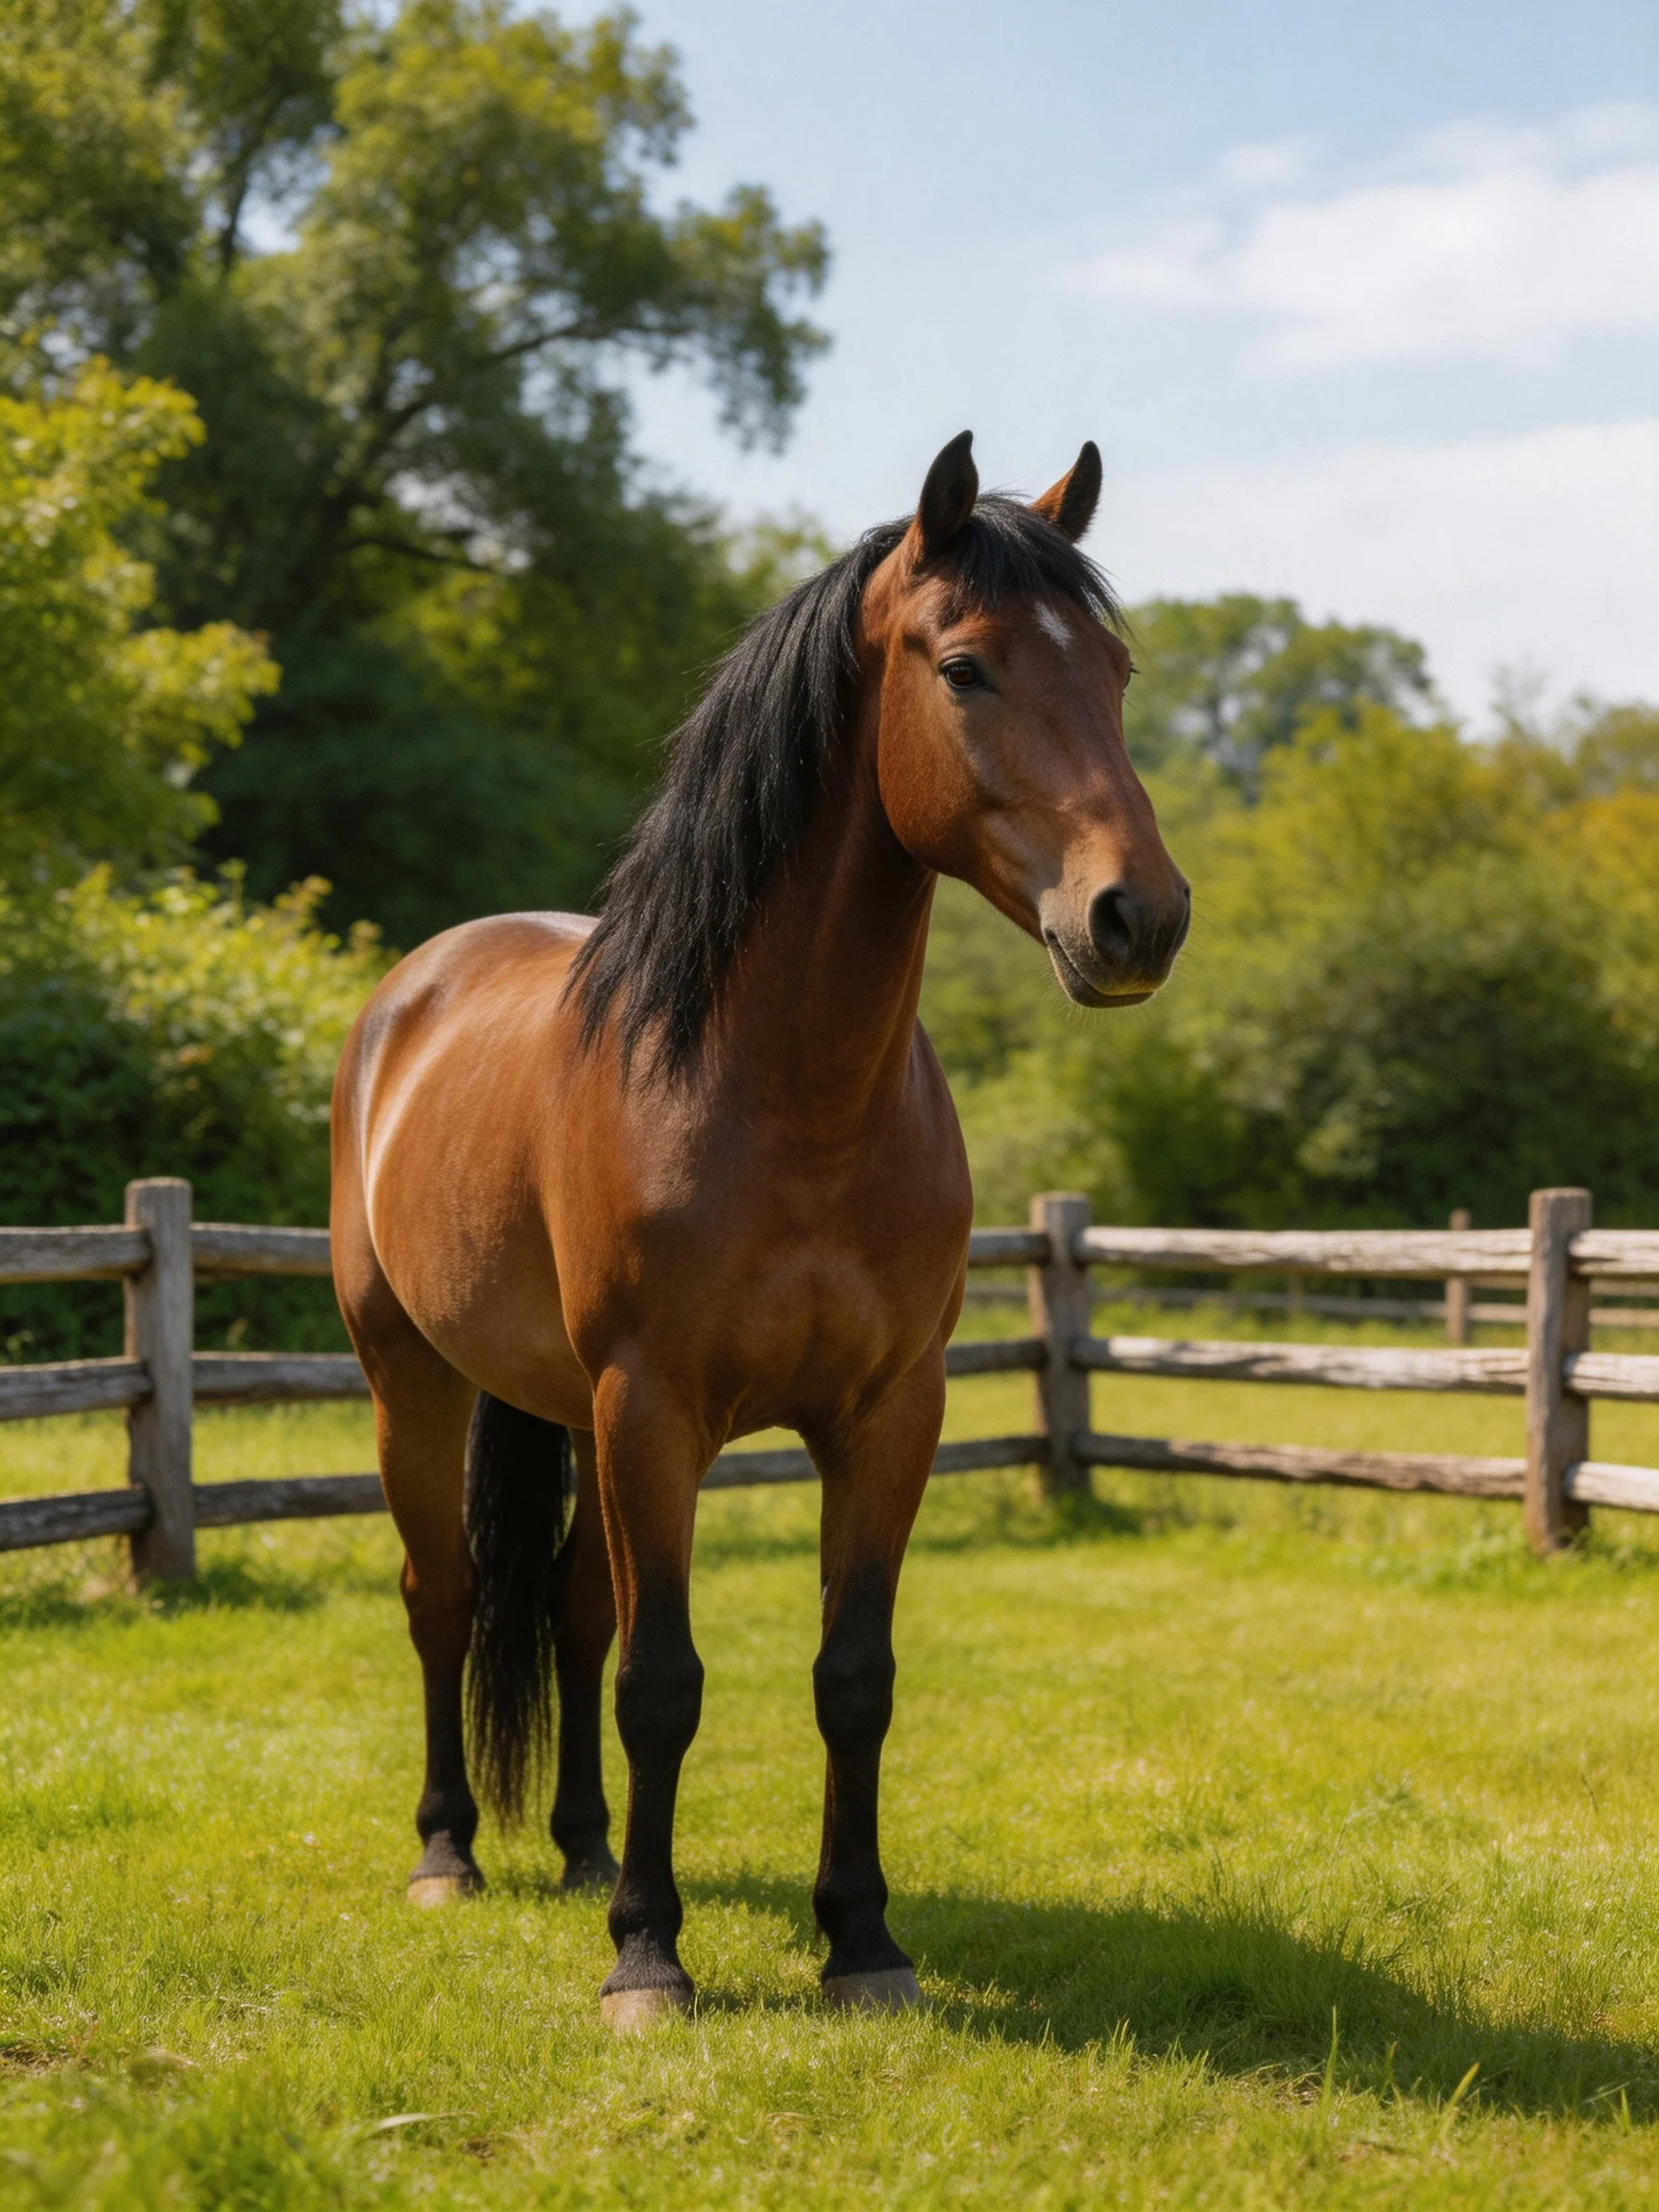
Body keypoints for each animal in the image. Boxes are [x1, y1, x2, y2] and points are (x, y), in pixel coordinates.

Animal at [330, 431, 1190, 2030]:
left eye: (1115, 666)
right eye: (966, 667)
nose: (1138, 919)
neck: (783, 1091)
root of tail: (413, 990)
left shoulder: (888, 1414)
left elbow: (851, 1675)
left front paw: (861, 1940)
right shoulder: (654, 1407)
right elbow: (664, 1682)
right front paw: (649, 1958)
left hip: (567, 1413)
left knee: (568, 1608)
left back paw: (581, 1850)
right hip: (415, 1381)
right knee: (449, 1596)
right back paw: (451, 1855)